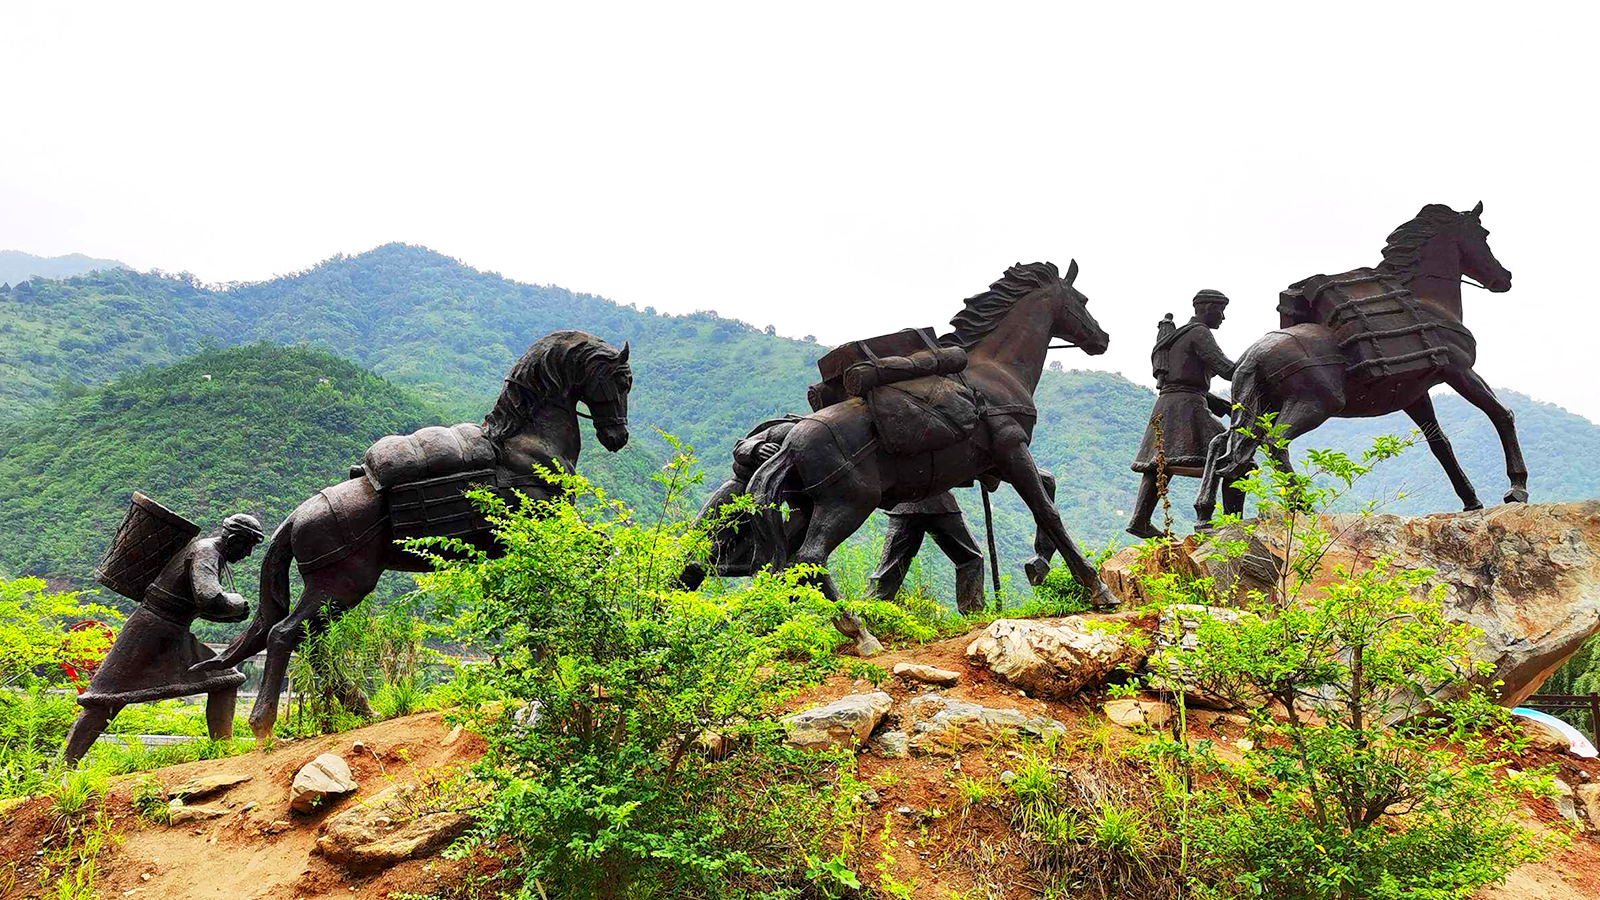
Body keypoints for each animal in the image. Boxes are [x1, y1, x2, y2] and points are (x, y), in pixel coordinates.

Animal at [193, 329, 630, 736]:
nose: (618, 437)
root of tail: (297, 515)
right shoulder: (542, 529)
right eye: (623, 380)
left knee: (311, 641)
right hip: (342, 583)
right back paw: (263, 724)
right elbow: (591, 556)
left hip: (333, 588)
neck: (528, 445)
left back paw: (361, 708)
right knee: (285, 635)